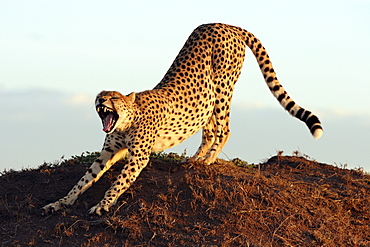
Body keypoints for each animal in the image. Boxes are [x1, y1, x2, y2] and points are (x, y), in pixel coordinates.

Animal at [42, 24, 320, 215]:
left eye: (113, 98)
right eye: (100, 95)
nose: (100, 100)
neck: (125, 123)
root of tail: (225, 23)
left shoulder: (138, 157)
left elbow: (118, 183)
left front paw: (103, 205)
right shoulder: (108, 152)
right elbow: (84, 180)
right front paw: (59, 202)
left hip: (222, 90)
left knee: (225, 129)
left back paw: (208, 160)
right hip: (207, 100)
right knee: (210, 131)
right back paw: (195, 159)